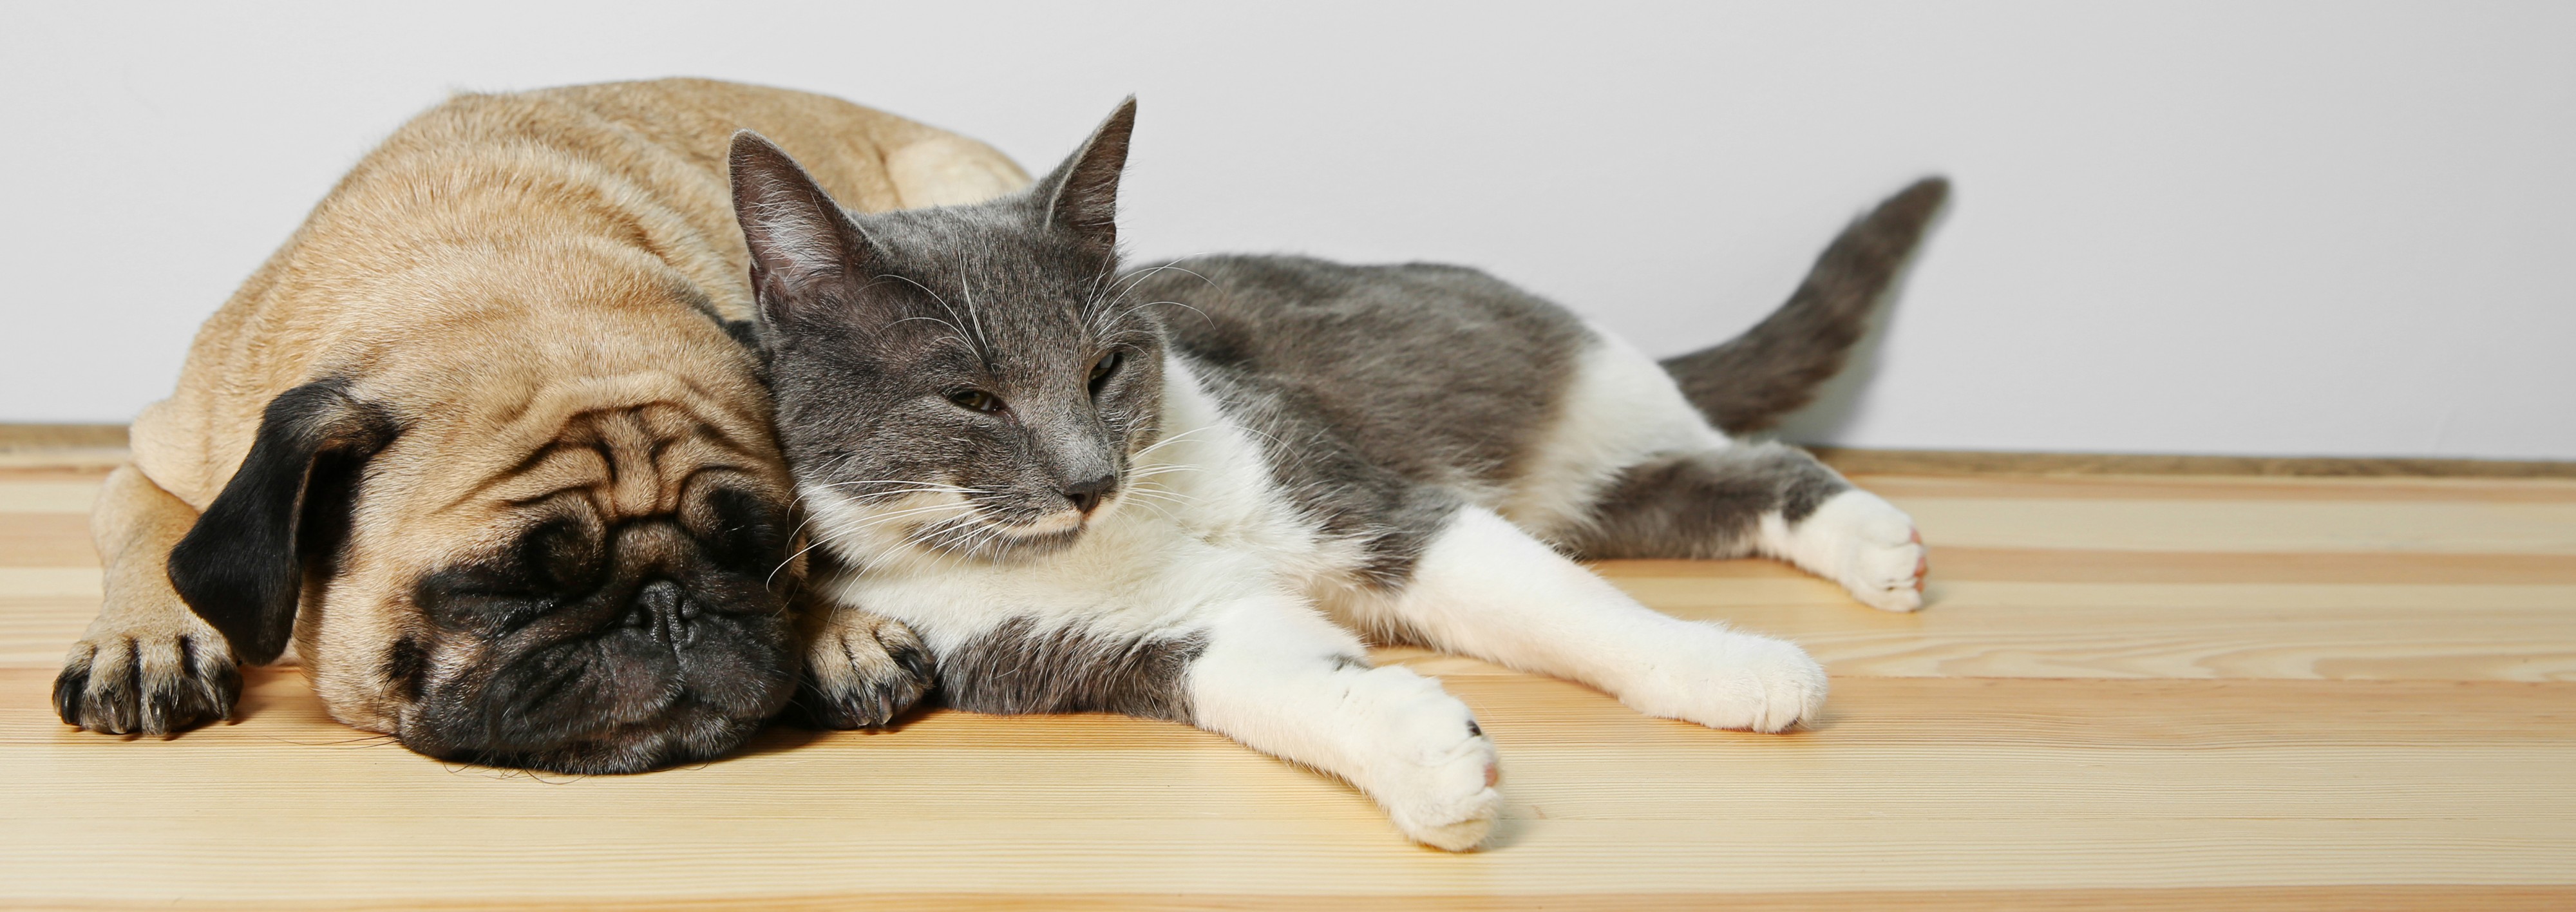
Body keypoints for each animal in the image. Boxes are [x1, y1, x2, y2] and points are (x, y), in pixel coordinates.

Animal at [45, 78, 1020, 773]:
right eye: (503, 591)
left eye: (755, 553)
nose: (664, 609)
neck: (508, 264)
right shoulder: (159, 456)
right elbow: (152, 528)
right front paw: (143, 637)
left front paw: (837, 630)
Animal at [721, 103, 1937, 850]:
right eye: (971, 400)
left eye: (1104, 368)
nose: (1090, 476)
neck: (1130, 531)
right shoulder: (1074, 643)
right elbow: (1272, 680)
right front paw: (1425, 757)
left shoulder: (1359, 492)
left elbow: (1563, 607)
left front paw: (1720, 667)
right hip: (1594, 493)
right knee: (1684, 489)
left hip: (1568, 399)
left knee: (1751, 456)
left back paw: (1878, 545)